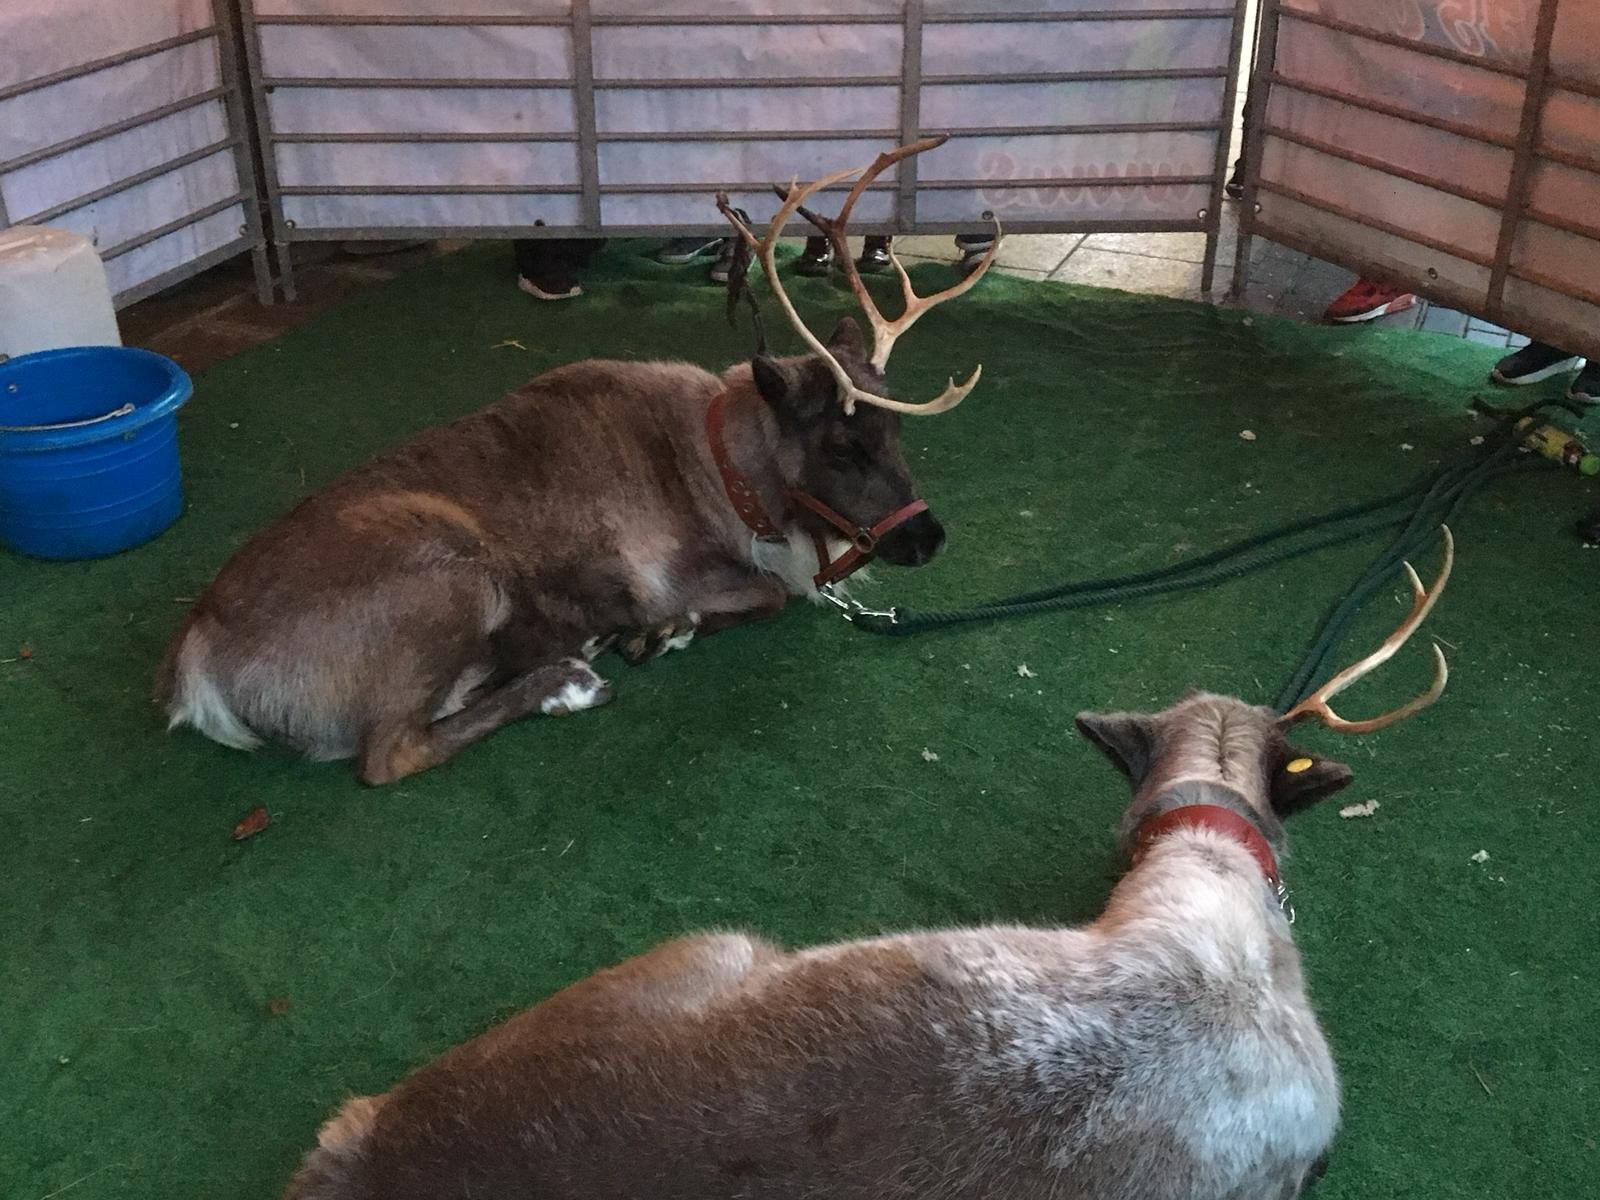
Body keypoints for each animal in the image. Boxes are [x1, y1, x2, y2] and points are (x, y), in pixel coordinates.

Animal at [158, 138, 1000, 785]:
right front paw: (664, 632)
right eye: (841, 445)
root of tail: (197, 663)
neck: (731, 478)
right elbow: (768, 595)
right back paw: (566, 681)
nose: (929, 537)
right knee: (391, 754)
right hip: (455, 577)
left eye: (898, 437)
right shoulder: (668, 570)